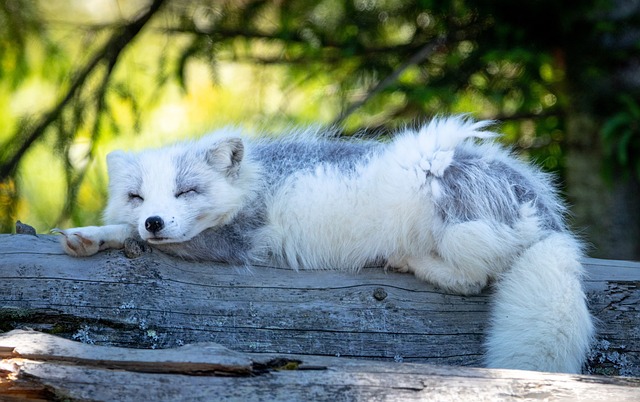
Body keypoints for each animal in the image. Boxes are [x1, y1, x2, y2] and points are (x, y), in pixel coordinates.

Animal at [57, 116, 592, 374]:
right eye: (137, 196)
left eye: (186, 192)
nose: (154, 220)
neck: (252, 181)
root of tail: (546, 212)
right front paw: (97, 232)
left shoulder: (236, 239)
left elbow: (137, 238)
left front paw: (94, 234)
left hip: (446, 198)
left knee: (472, 278)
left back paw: (408, 261)